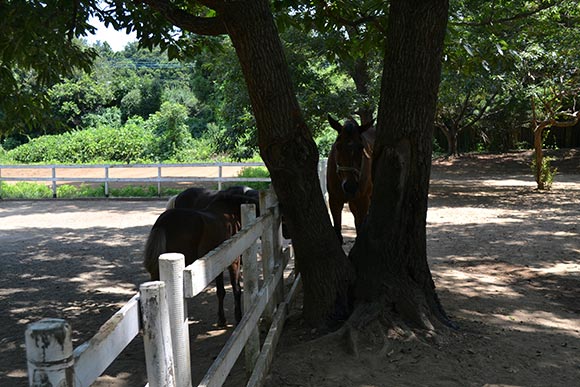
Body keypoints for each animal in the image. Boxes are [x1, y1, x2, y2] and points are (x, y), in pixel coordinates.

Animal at [144, 191, 258, 328]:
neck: (231, 215)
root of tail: (163, 223)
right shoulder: (234, 261)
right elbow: (236, 289)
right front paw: (238, 317)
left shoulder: (217, 263)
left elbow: (221, 291)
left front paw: (222, 319)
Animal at [326, 113, 376, 244]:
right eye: (338, 146)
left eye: (361, 147)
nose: (350, 186)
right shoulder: (334, 200)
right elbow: (338, 232)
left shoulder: (362, 200)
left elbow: (360, 228)